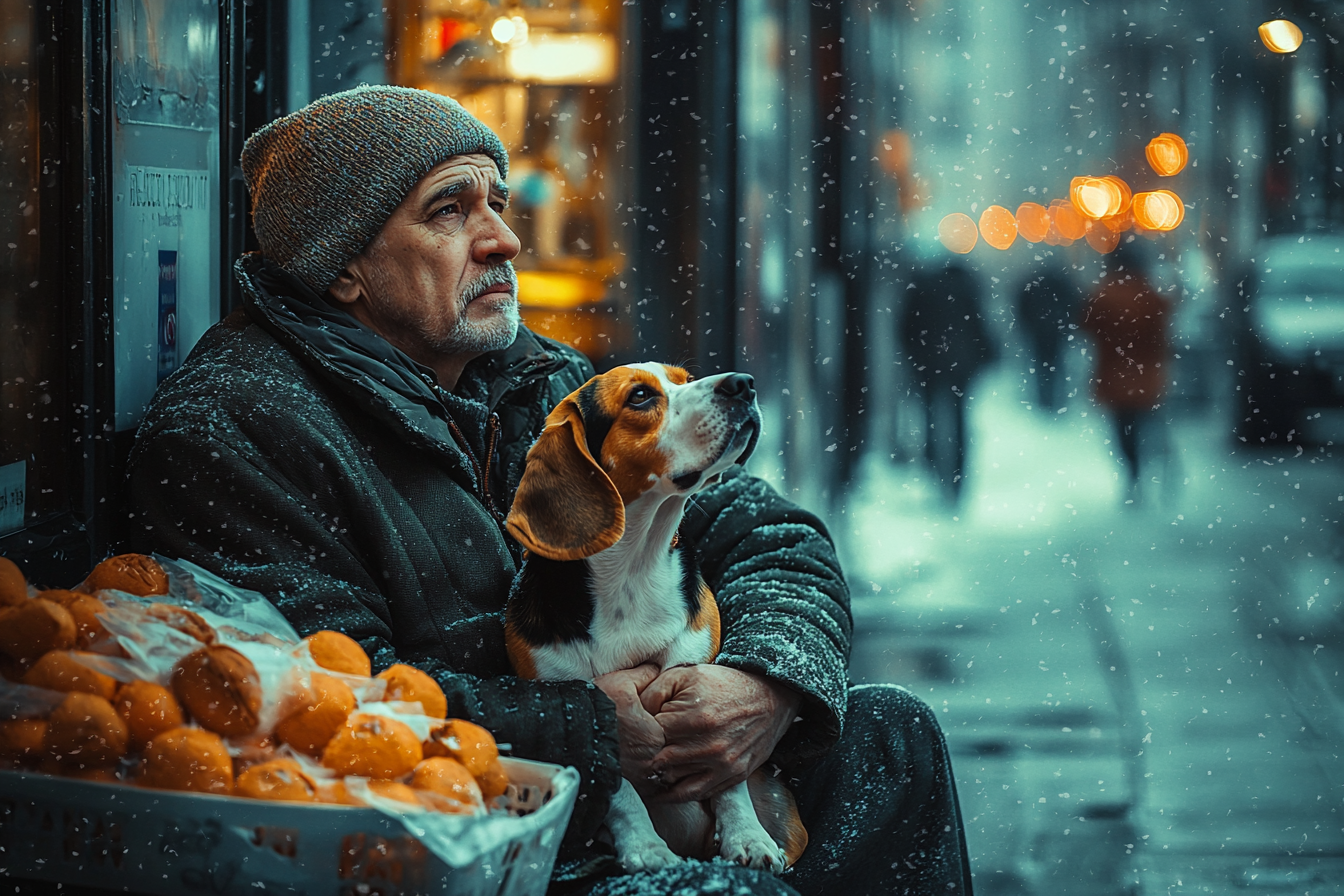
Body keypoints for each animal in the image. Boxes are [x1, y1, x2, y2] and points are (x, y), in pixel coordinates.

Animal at [499, 365, 801, 875]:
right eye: (640, 397)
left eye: (686, 378)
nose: (743, 383)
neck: (633, 570)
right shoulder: (593, 706)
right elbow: (619, 787)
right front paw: (645, 847)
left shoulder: (704, 684)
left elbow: (729, 775)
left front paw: (748, 837)